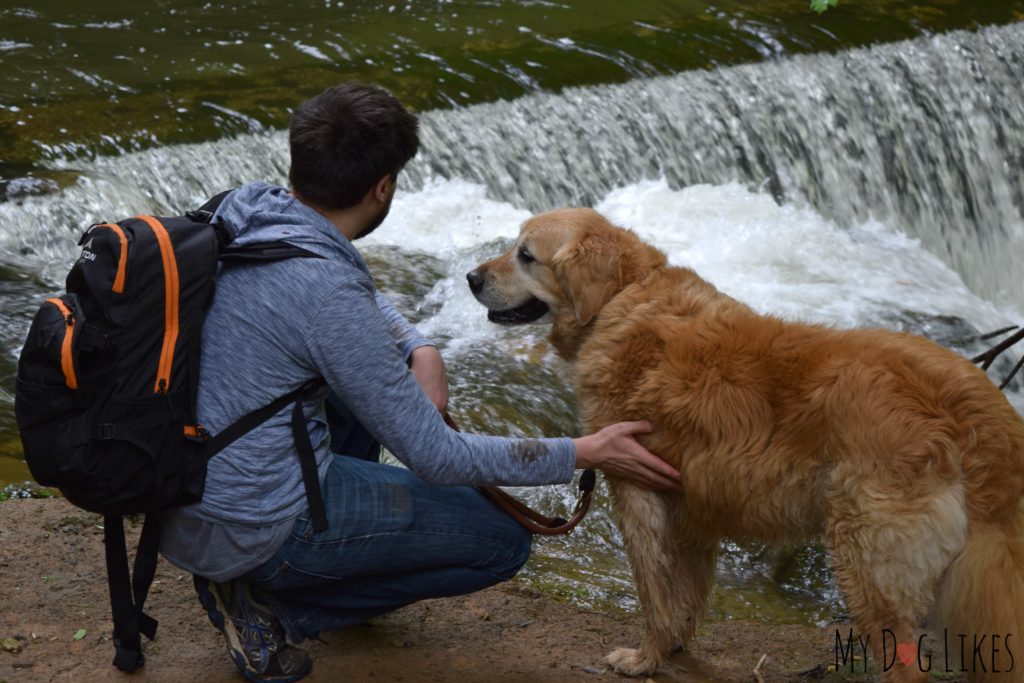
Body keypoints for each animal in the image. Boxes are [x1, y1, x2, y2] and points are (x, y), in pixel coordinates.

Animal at [468, 208, 1024, 683]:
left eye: (525, 254)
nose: (471, 278)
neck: (622, 297)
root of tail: (970, 404)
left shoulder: (638, 495)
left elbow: (655, 595)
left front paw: (644, 659)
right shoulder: (690, 511)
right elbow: (685, 599)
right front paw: (673, 650)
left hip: (867, 562)